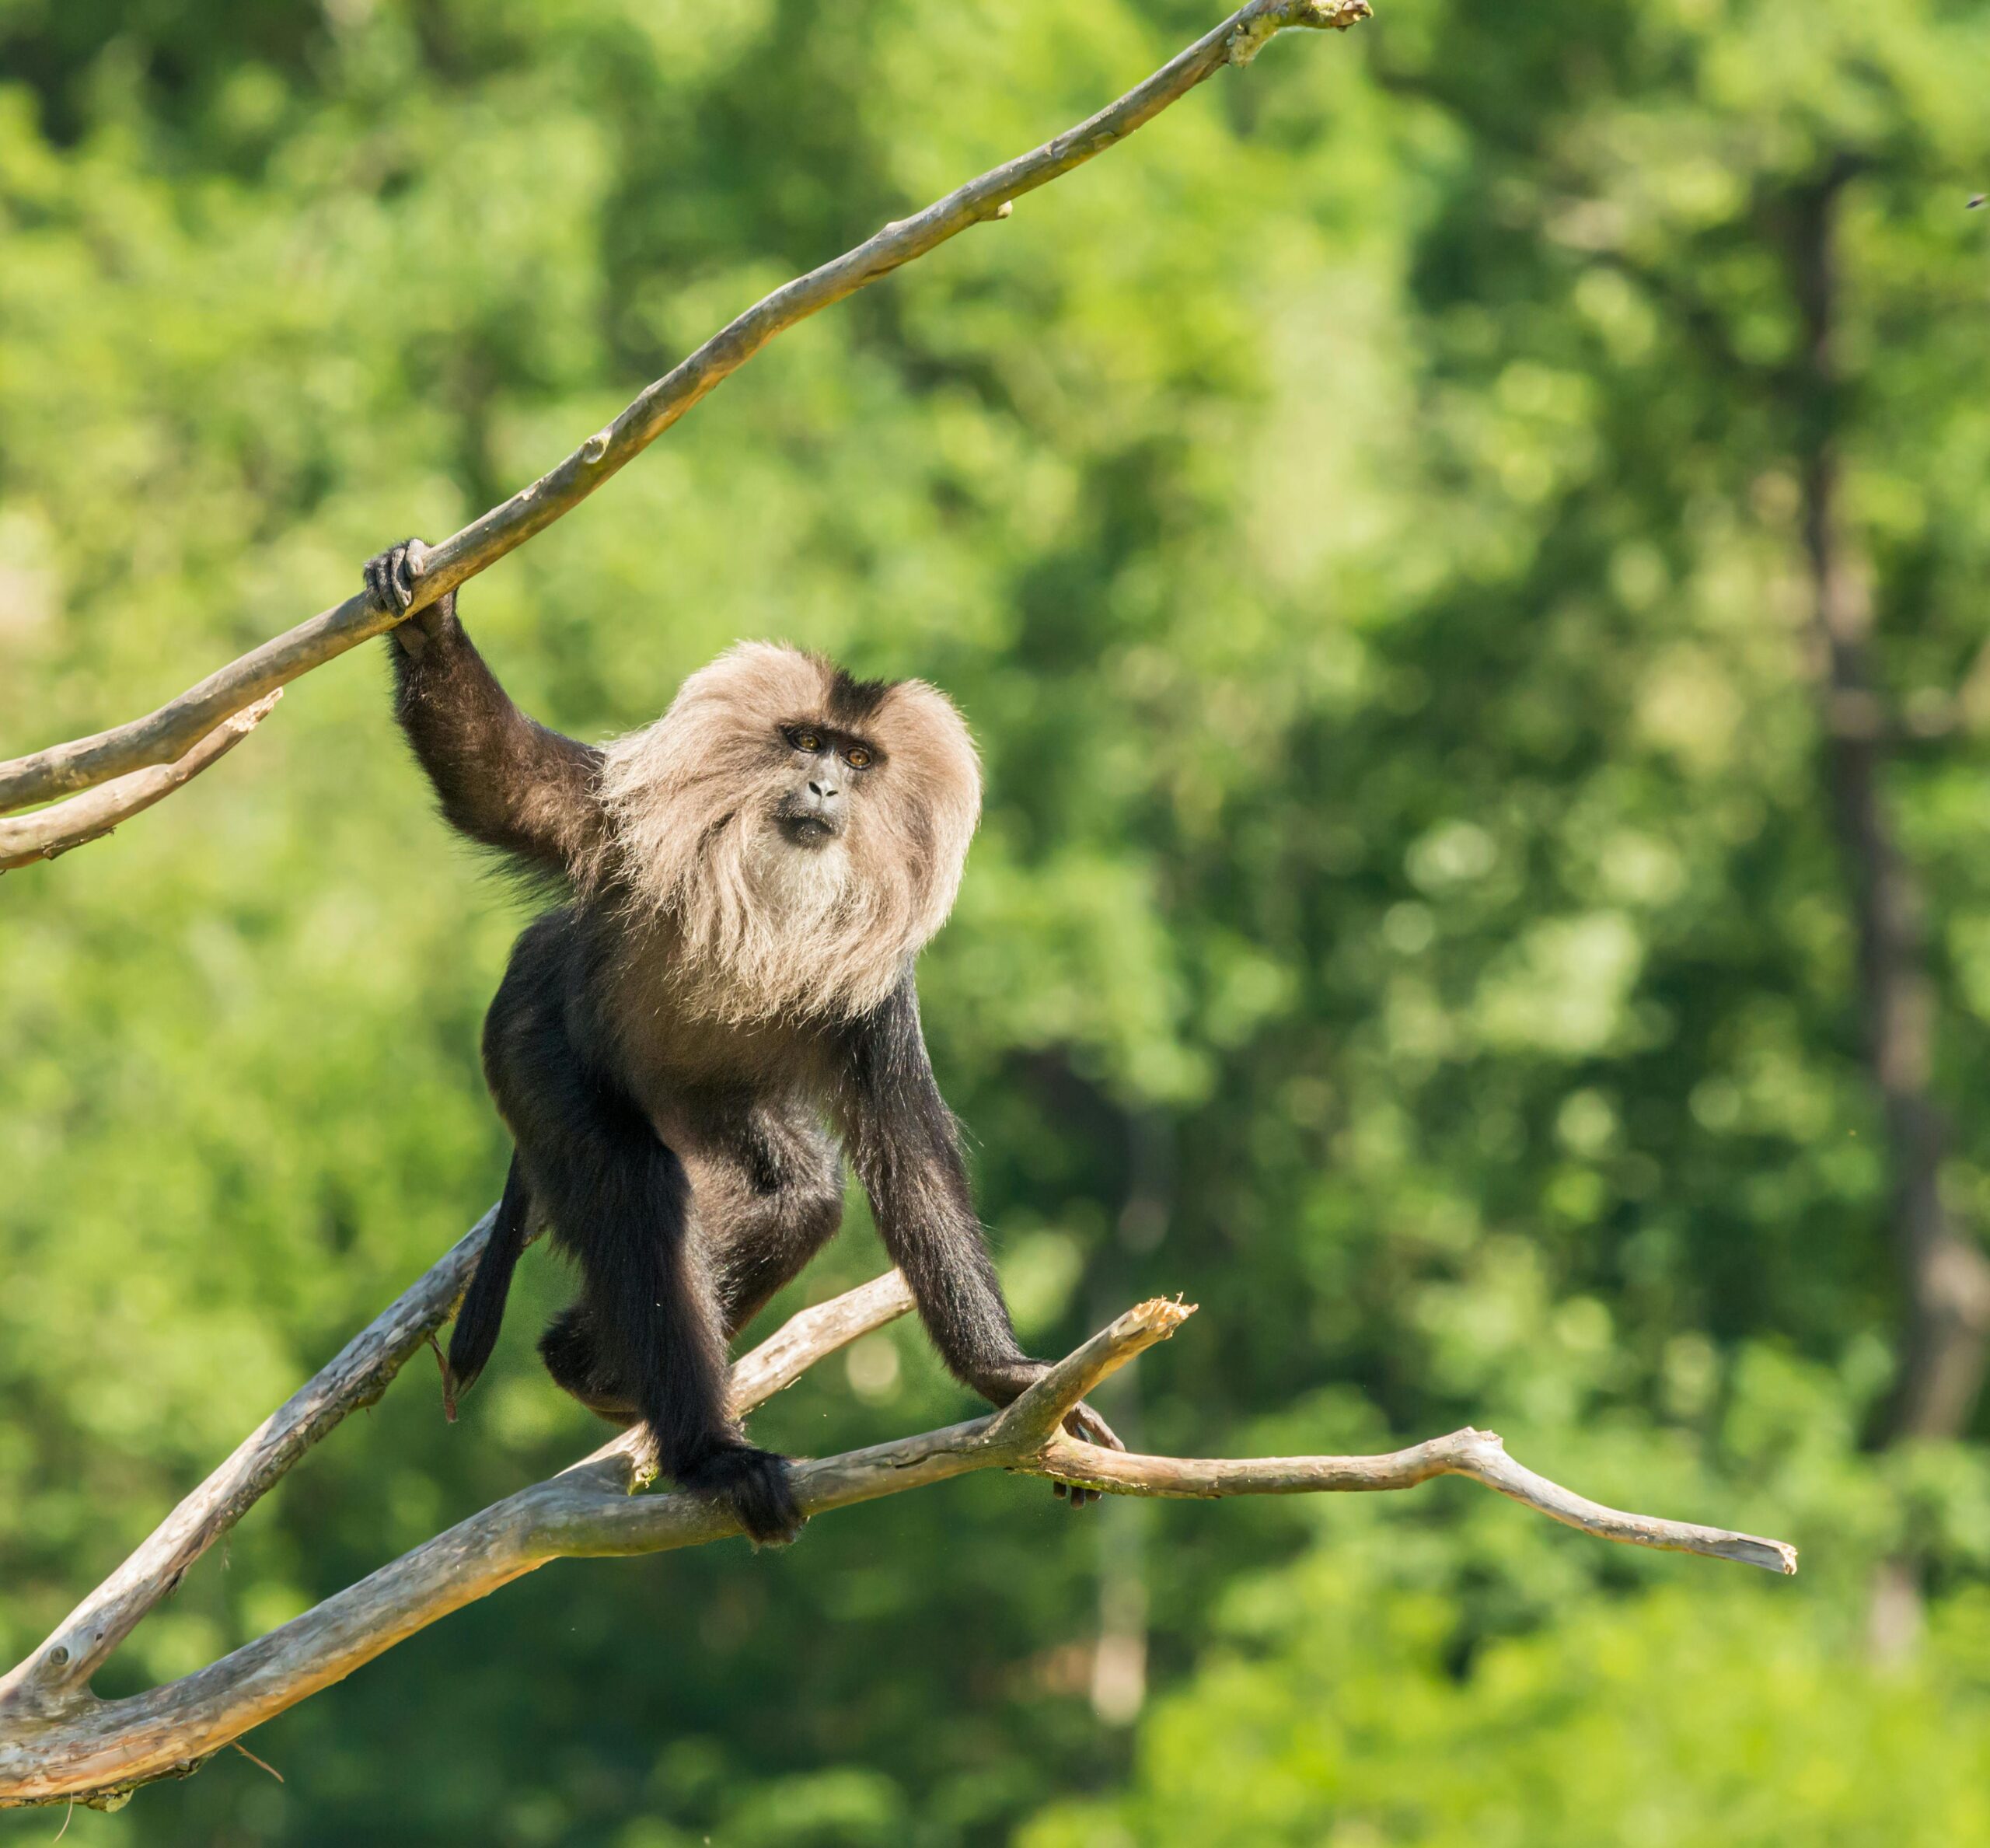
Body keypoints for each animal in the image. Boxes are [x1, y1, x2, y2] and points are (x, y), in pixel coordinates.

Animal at [365, 538, 1121, 1544]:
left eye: (858, 758)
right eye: (804, 744)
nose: (824, 787)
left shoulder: (877, 993)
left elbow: (909, 1158)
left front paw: (1008, 1378)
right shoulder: (629, 832)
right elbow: (504, 784)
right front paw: (425, 616)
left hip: (711, 1102)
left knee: (798, 1190)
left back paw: (590, 1366)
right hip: (532, 1036)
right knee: (634, 1189)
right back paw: (706, 1453)